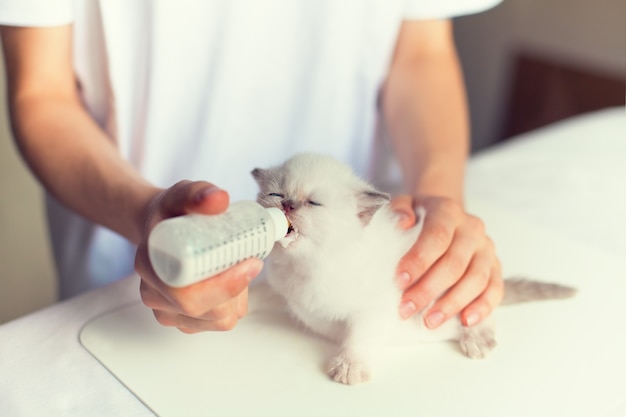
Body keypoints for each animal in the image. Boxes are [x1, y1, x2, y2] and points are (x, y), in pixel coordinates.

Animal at [251, 152, 572, 384]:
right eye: (277, 195)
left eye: (313, 203)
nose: (288, 206)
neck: (307, 265)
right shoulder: (282, 291)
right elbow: (261, 291)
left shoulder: (376, 307)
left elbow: (358, 337)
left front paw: (350, 366)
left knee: (480, 311)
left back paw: (477, 338)